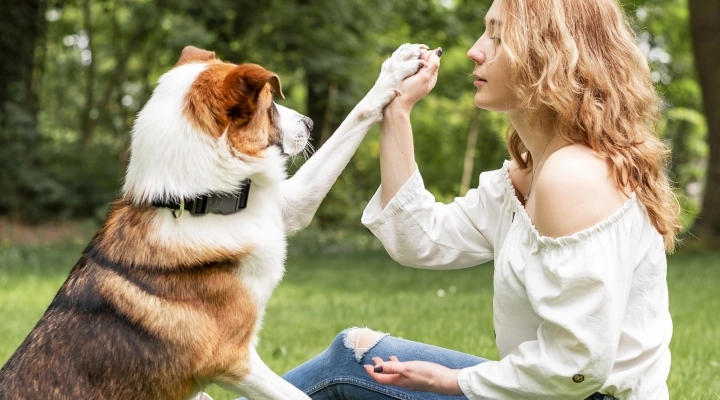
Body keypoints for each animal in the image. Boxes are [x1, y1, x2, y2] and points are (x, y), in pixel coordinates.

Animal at [0, 42, 428, 398]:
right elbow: (299, 396)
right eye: (270, 104)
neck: (197, 202)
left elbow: (354, 118)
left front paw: (398, 71)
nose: (308, 123)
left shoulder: (287, 206)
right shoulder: (234, 361)